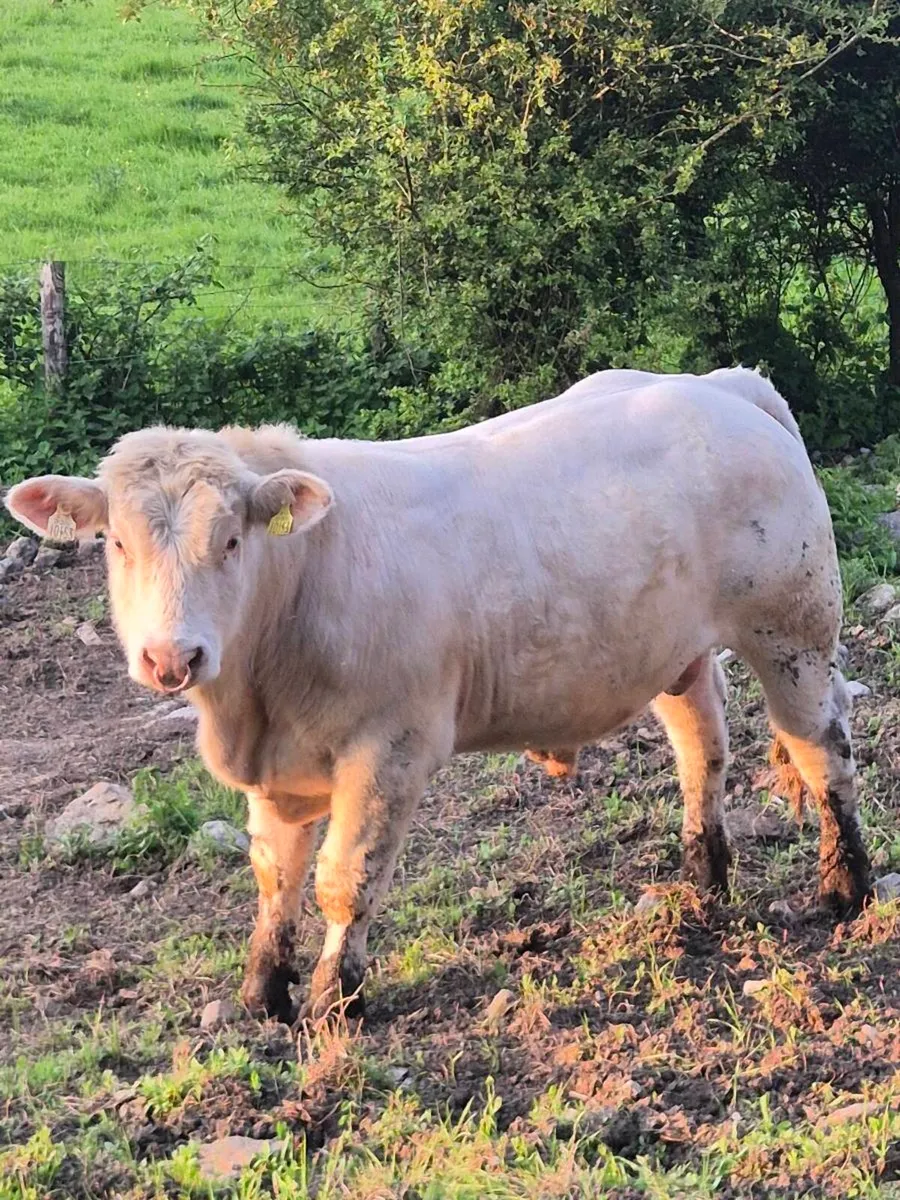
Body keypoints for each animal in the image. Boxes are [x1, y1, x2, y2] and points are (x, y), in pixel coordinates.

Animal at [6, 366, 871, 1025]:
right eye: (117, 542)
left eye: (230, 540)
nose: (170, 657)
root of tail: (722, 386)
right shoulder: (278, 769)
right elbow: (275, 877)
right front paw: (262, 993)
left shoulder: (390, 747)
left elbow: (344, 877)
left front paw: (334, 1002)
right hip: (675, 651)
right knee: (703, 749)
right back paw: (703, 888)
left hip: (794, 630)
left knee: (822, 748)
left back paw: (846, 888)